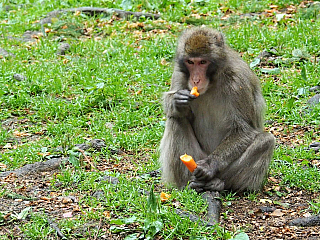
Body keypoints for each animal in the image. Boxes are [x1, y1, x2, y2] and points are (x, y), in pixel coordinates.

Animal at [160, 27, 276, 193]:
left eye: (203, 62)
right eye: (190, 62)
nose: (195, 80)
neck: (212, 81)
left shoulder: (238, 82)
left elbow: (243, 130)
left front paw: (210, 165)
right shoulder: (179, 73)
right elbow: (175, 109)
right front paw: (178, 101)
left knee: (266, 141)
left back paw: (217, 183)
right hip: (196, 156)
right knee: (176, 120)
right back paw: (188, 184)